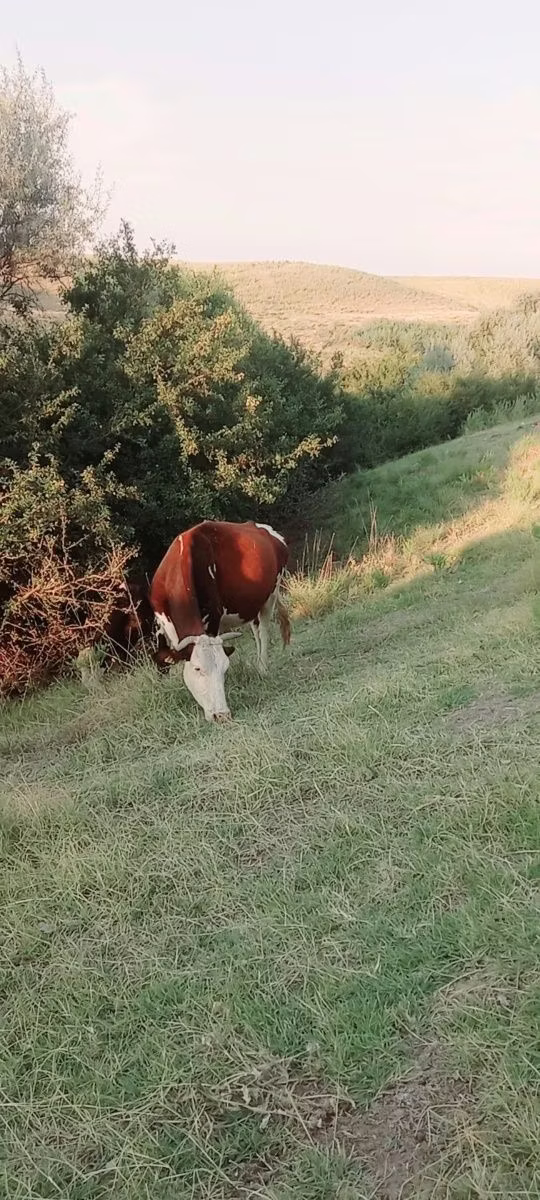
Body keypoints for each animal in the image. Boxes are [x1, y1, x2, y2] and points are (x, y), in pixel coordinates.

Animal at [149, 520, 291, 722]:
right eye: (198, 669)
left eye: (225, 669)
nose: (222, 715)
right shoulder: (164, 624)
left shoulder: (213, 619)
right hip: (251, 604)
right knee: (256, 630)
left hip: (271, 595)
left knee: (264, 630)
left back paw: (263, 668)